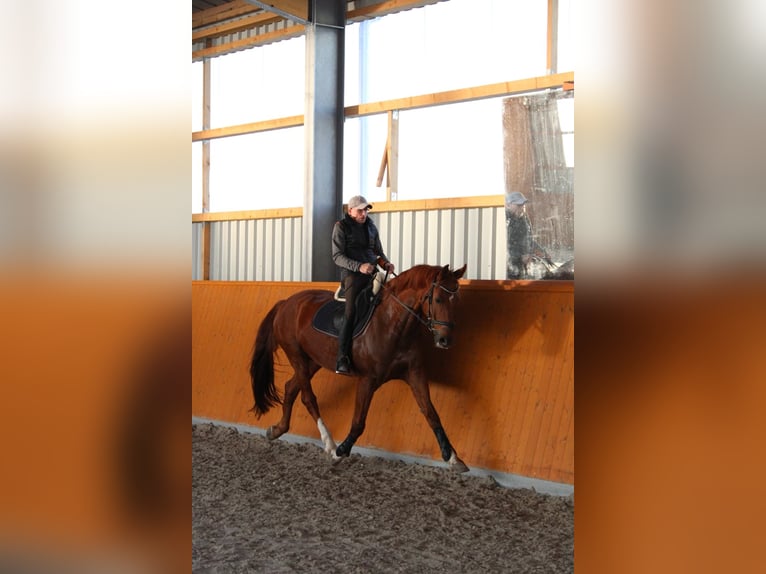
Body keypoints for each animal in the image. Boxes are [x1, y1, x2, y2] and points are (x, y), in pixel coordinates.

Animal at [248, 263, 469, 472]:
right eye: (438, 299)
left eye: (456, 300)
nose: (445, 340)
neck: (391, 323)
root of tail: (286, 303)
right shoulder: (367, 380)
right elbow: (358, 421)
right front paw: (340, 452)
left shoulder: (415, 374)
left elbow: (431, 414)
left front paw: (452, 458)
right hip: (297, 356)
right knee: (308, 397)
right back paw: (329, 444)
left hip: (314, 360)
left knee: (290, 388)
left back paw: (277, 430)